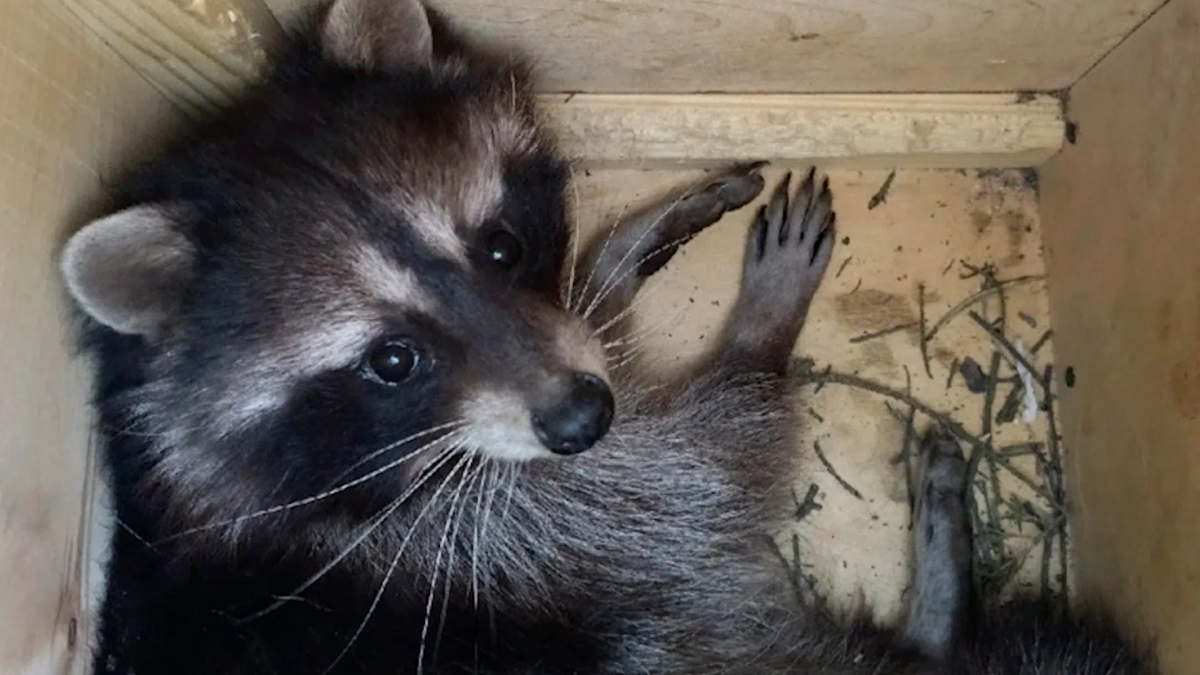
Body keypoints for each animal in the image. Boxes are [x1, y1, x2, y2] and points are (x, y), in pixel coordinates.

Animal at [58, 1, 1161, 672]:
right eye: (391, 360)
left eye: (501, 246)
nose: (584, 417)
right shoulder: (471, 545)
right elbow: (701, 482)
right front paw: (757, 330)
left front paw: (616, 261)